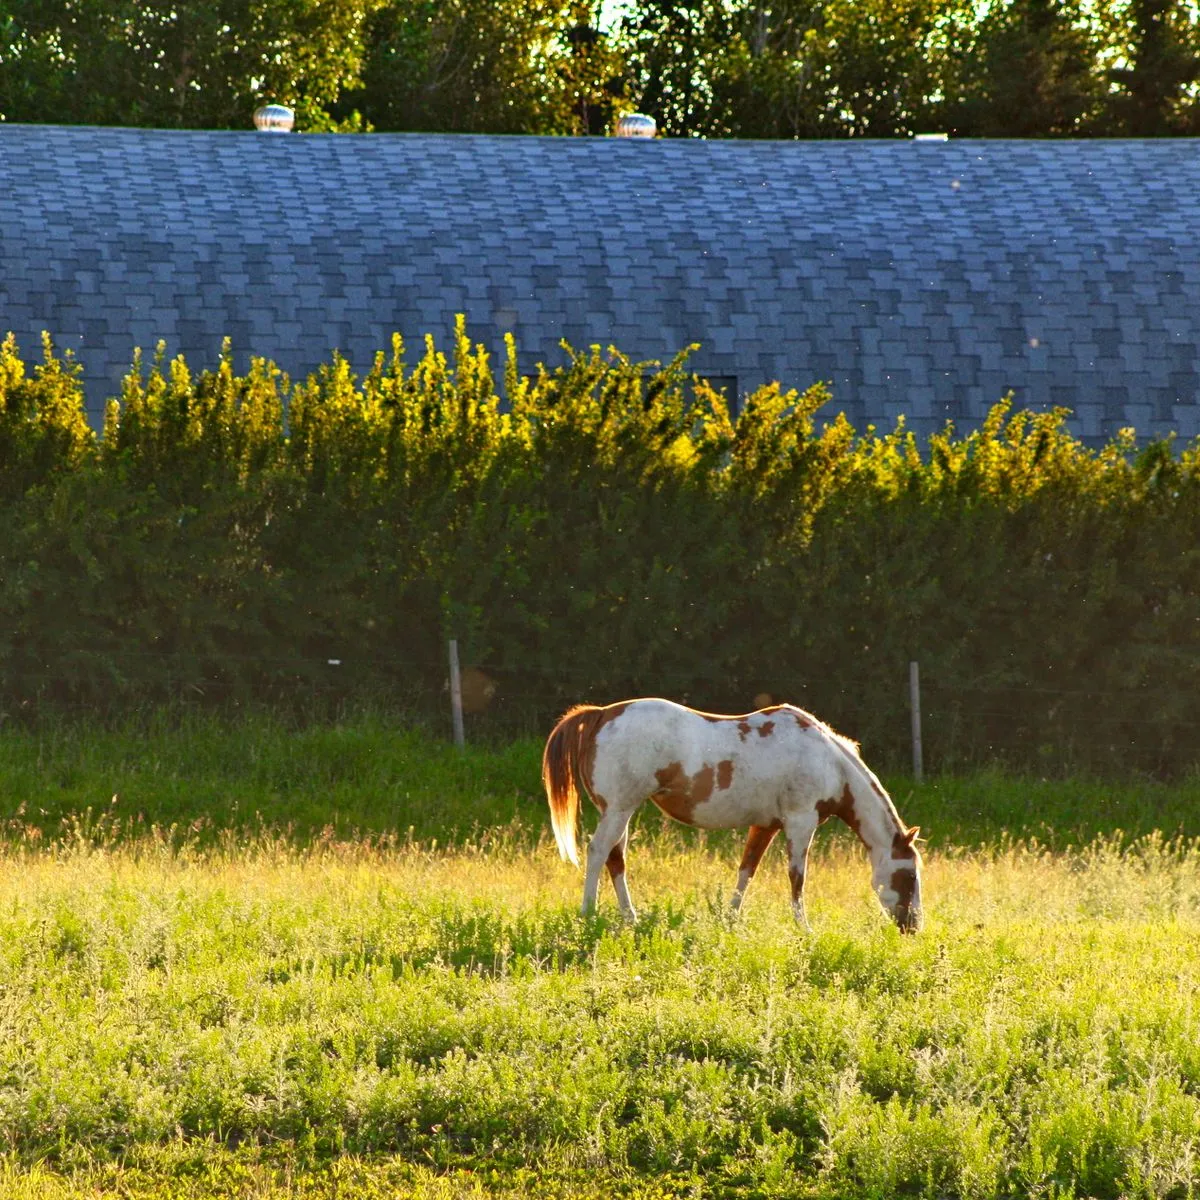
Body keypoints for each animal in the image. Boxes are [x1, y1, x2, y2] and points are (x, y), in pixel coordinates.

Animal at [542, 697, 923, 932]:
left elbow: (747, 870)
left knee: (615, 859)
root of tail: (602, 714)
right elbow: (797, 878)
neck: (829, 761)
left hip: (619, 812)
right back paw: (589, 913)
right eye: (909, 876)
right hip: (619, 809)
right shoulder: (801, 822)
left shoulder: (766, 825)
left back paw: (630, 918)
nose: (914, 927)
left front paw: (730, 918)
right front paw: (804, 928)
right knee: (597, 853)